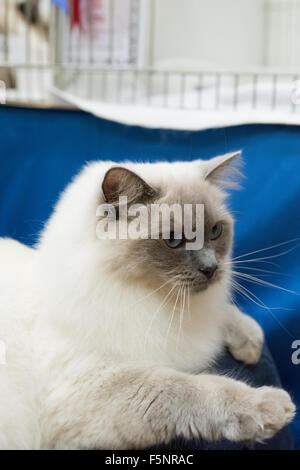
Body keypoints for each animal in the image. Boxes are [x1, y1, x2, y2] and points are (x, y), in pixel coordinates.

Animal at [0, 152, 296, 450]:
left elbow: (229, 315)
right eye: (173, 241)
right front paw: (272, 406)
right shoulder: (95, 386)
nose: (211, 268)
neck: (157, 300)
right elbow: (190, 387)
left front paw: (250, 347)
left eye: (215, 231)